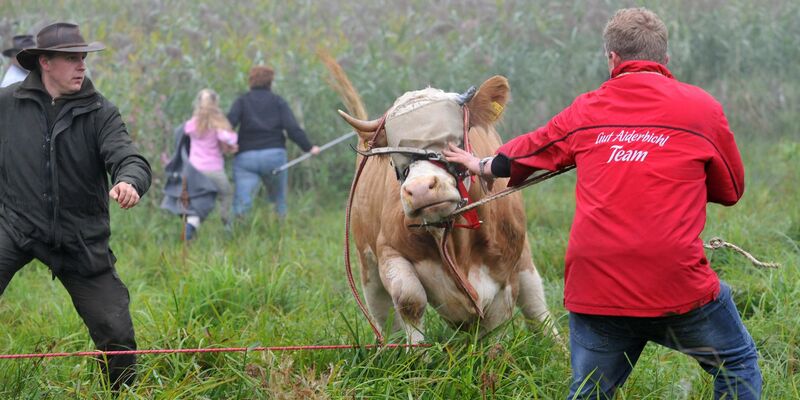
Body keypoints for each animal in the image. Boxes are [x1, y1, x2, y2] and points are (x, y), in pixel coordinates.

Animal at [340, 76, 556, 344]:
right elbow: (409, 299)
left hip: (523, 258)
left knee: (535, 303)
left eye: (450, 141)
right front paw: (416, 355)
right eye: (394, 157)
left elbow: (496, 328)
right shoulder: (389, 249)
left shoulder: (505, 274)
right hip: (367, 263)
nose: (420, 189)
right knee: (386, 318)